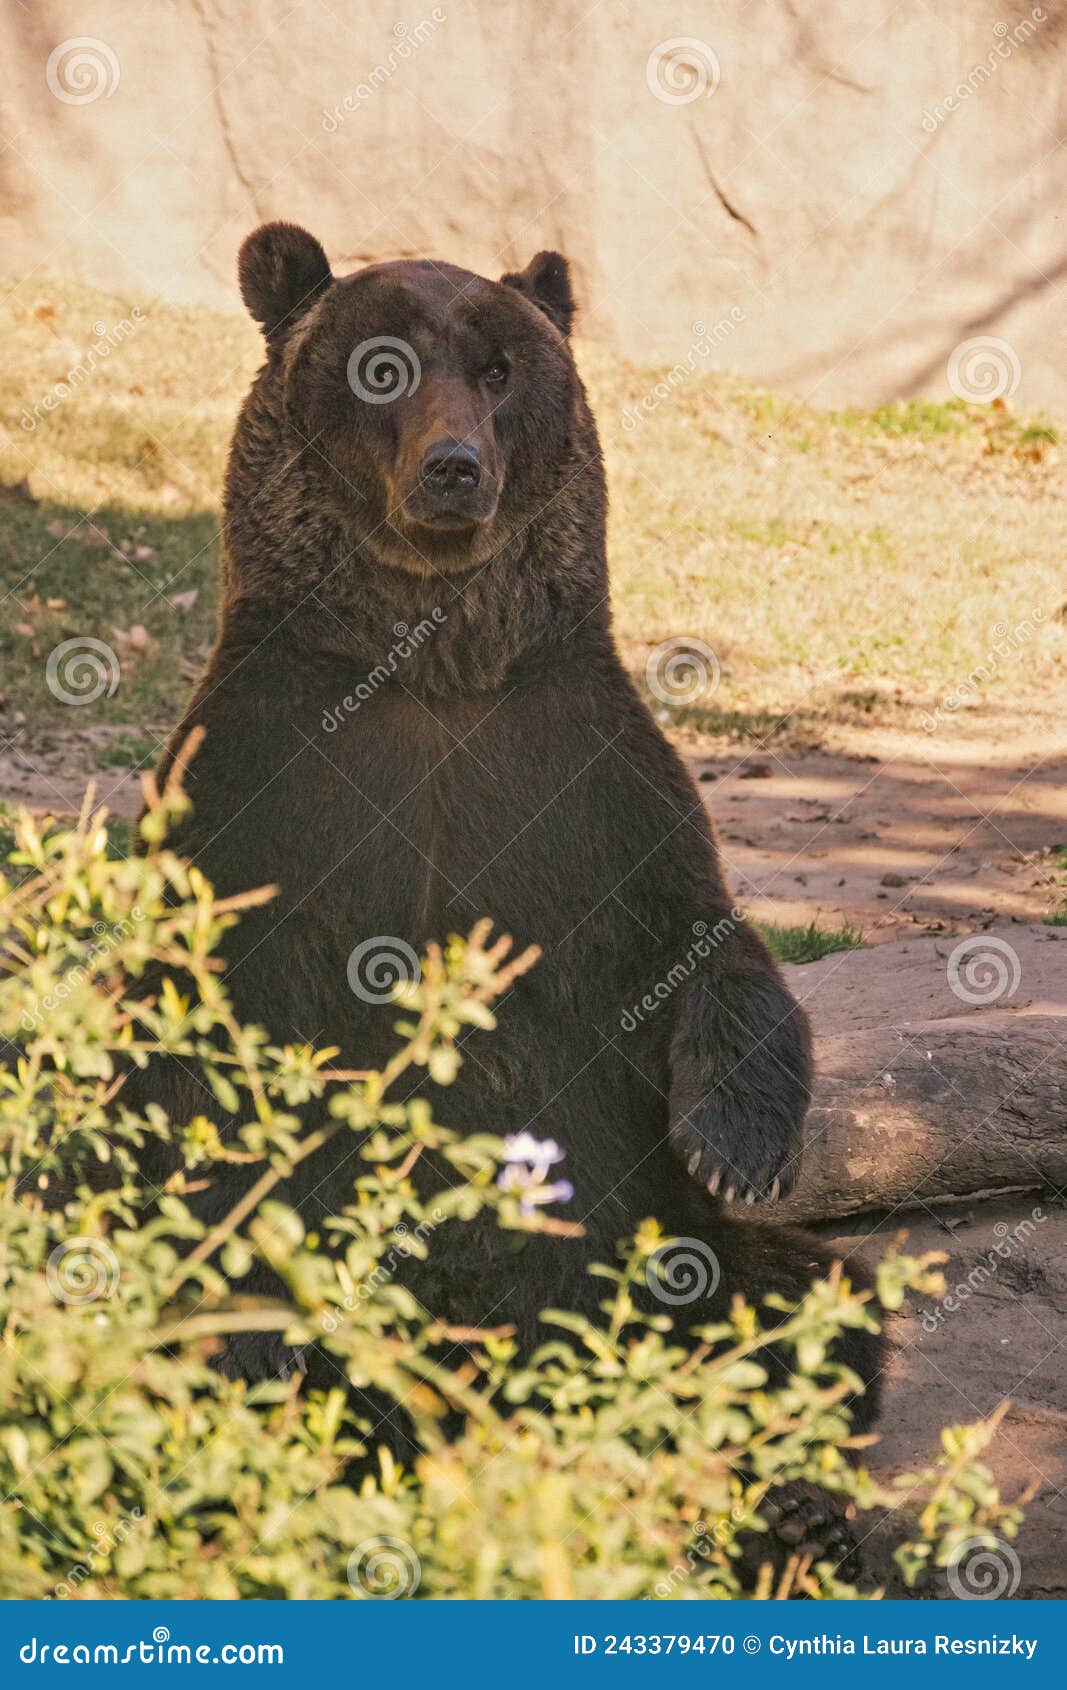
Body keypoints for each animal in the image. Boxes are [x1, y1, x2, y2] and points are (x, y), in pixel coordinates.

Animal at [147, 221, 886, 1439]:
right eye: (383, 366)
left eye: (500, 369)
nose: (455, 466)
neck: (435, 665)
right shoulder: (267, 761)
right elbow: (196, 993)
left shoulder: (581, 766)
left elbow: (695, 939)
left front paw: (732, 1150)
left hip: (656, 1263)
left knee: (805, 1299)